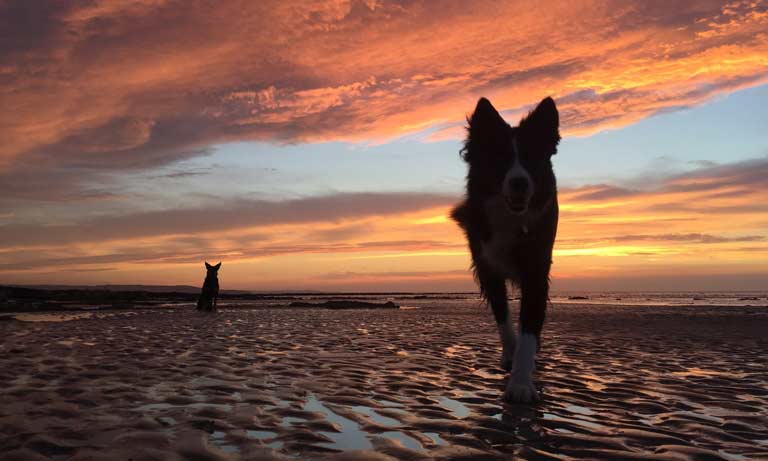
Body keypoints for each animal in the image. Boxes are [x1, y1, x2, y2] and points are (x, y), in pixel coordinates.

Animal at [452, 97, 560, 402]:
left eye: (531, 158)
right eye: (499, 158)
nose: (519, 182)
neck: (510, 217)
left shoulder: (536, 269)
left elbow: (528, 330)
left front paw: (521, 383)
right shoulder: (487, 267)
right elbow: (503, 317)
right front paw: (511, 356)